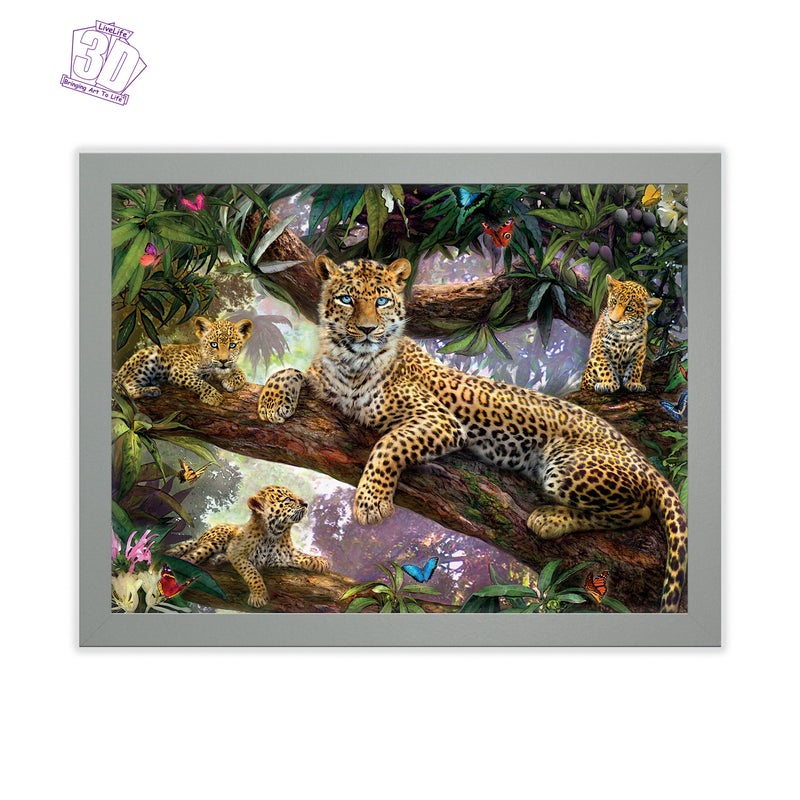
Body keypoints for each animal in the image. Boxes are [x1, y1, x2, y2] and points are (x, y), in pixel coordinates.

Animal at [114, 316, 253, 406]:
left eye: (232, 345)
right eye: (213, 344)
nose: (223, 360)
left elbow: (240, 371)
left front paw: (231, 382)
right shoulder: (178, 370)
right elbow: (199, 382)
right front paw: (213, 396)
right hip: (150, 356)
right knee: (127, 386)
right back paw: (152, 389)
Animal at [166, 485, 329, 608]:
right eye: (288, 499)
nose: (306, 503)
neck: (274, 533)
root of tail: (202, 535)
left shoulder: (285, 556)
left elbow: (302, 556)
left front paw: (321, 561)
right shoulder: (237, 552)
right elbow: (252, 572)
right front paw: (258, 596)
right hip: (215, 540)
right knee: (192, 555)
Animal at [257, 256, 687, 612]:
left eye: (381, 302)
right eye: (346, 299)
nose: (365, 330)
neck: (351, 362)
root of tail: (636, 453)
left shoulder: (440, 421)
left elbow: (389, 443)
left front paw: (371, 502)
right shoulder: (324, 381)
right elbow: (291, 371)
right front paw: (271, 402)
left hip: (568, 470)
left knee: (638, 510)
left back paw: (551, 518)